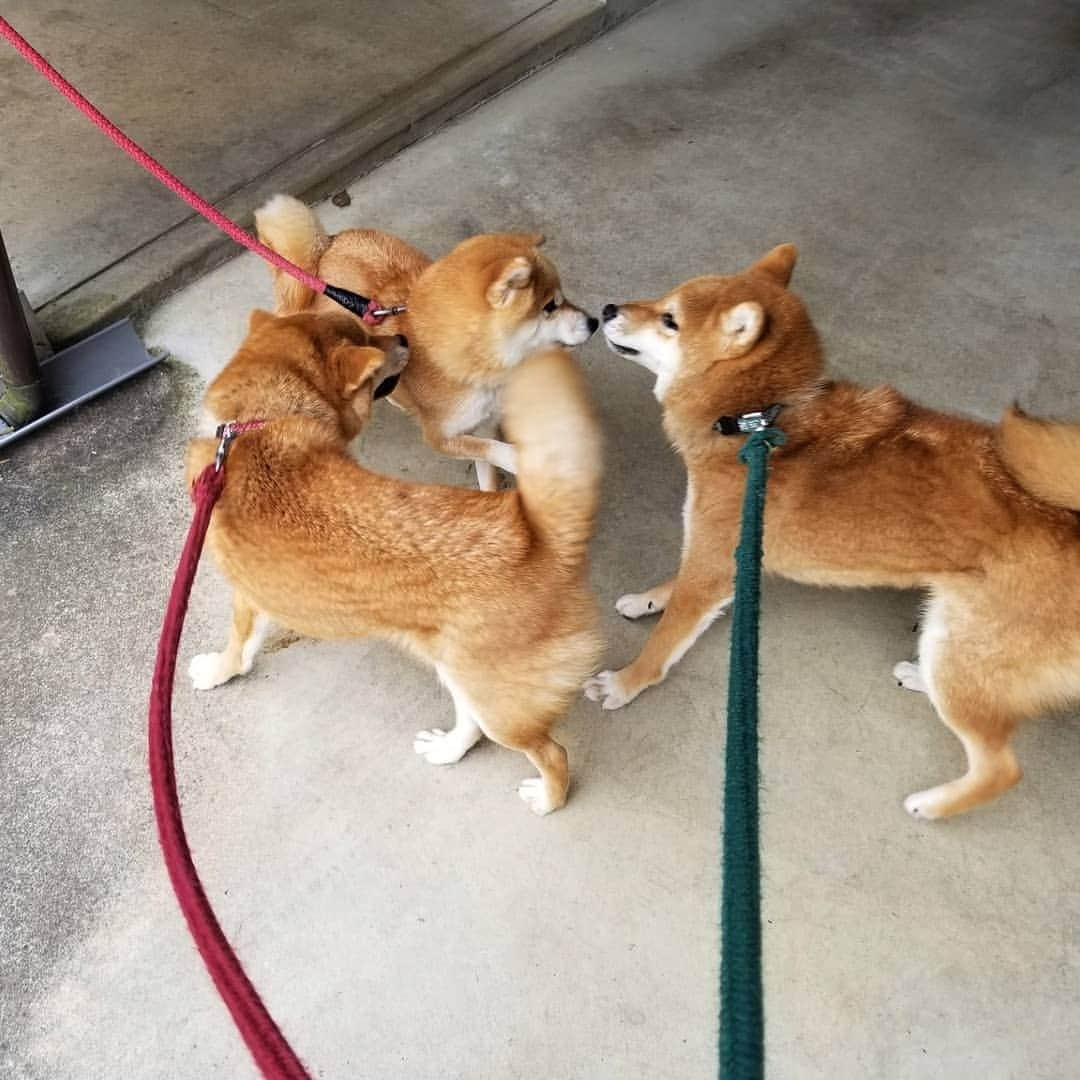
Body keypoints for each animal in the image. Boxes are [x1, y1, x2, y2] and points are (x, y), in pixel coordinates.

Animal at [253, 196, 600, 492]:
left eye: (562, 298)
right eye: (550, 306)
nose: (594, 322)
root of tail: (324, 248)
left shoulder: (482, 423)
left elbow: (487, 462)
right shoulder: (440, 436)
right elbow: (496, 450)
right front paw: (524, 459)